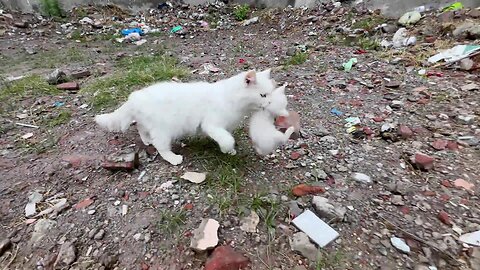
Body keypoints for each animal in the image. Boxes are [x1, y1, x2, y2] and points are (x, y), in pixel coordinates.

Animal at [94, 68, 276, 166]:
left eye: (270, 94)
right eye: (263, 95)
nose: (270, 103)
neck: (230, 98)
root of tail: (134, 96)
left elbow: (226, 136)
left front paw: (230, 150)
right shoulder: (211, 124)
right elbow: (226, 138)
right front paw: (227, 149)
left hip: (150, 124)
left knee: (141, 128)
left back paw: (146, 140)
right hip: (163, 130)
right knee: (161, 146)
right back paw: (173, 158)